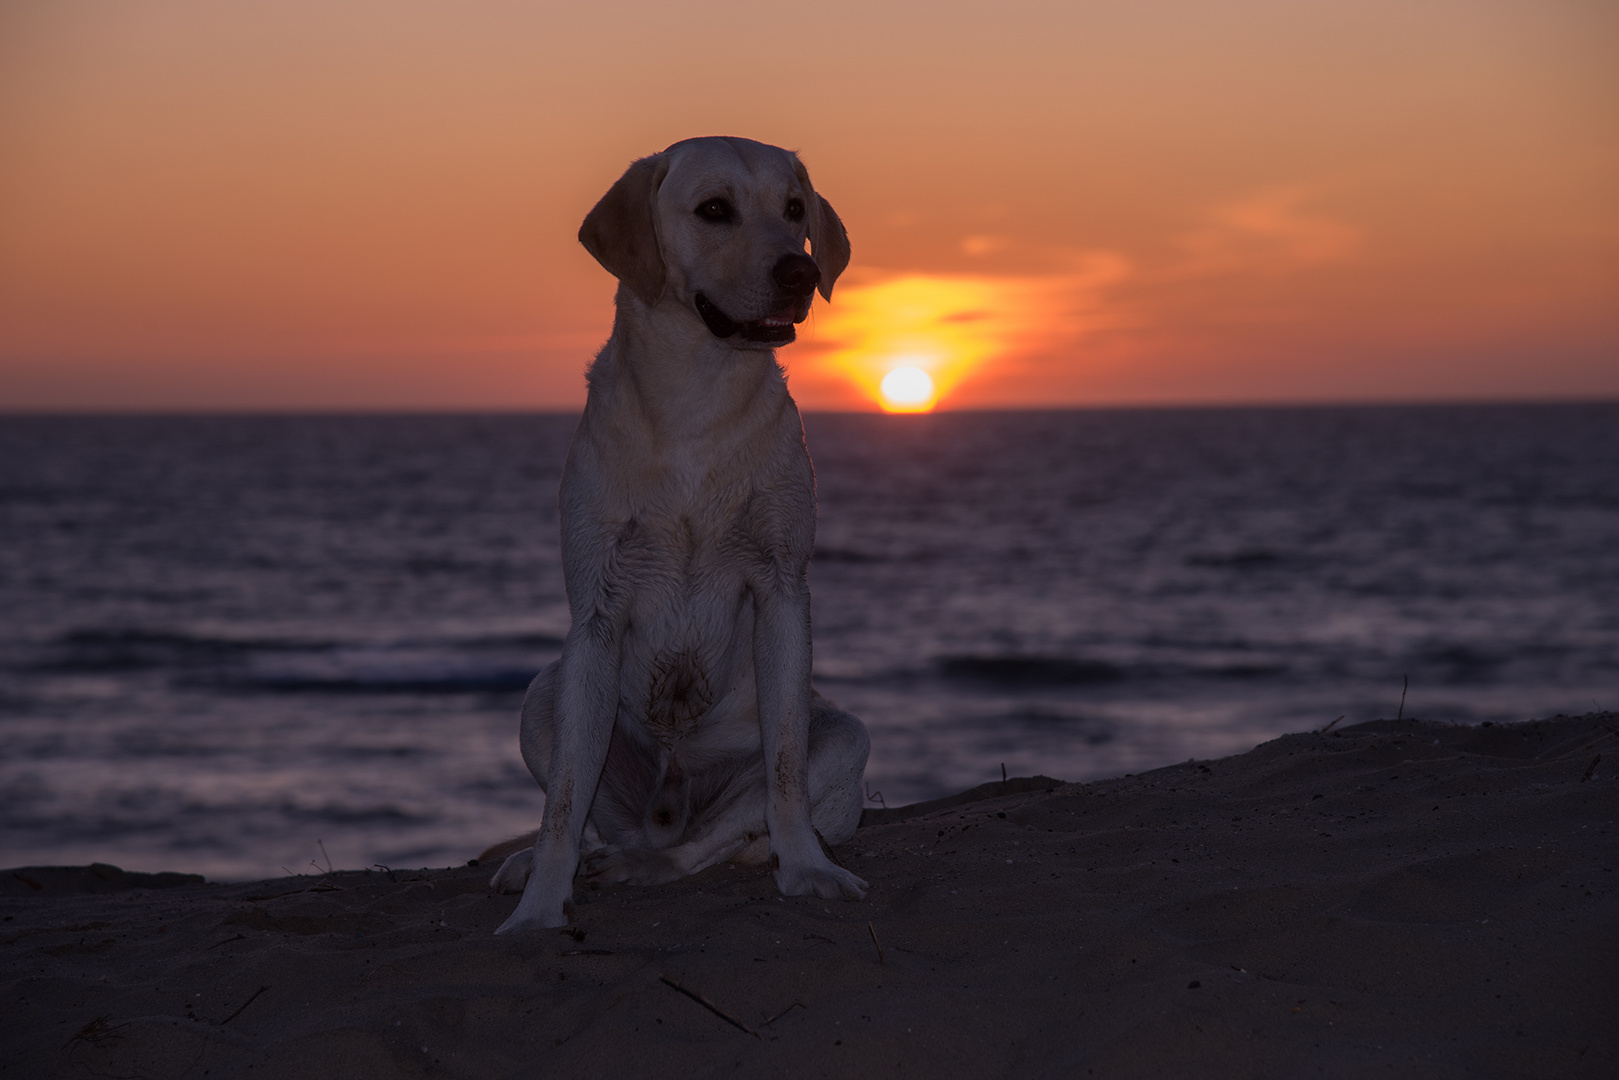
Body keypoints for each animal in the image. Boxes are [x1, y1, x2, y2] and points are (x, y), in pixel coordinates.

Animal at [488, 135, 874, 932]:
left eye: (795, 209)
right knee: (588, 816)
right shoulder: (596, 614)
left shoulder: (782, 588)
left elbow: (784, 768)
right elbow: (562, 802)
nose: (800, 271)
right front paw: (540, 910)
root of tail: (670, 806)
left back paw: (651, 864)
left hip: (844, 737)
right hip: (544, 696)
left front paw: (808, 868)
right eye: (714, 210)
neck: (698, 398)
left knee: (706, 843)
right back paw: (544, 864)